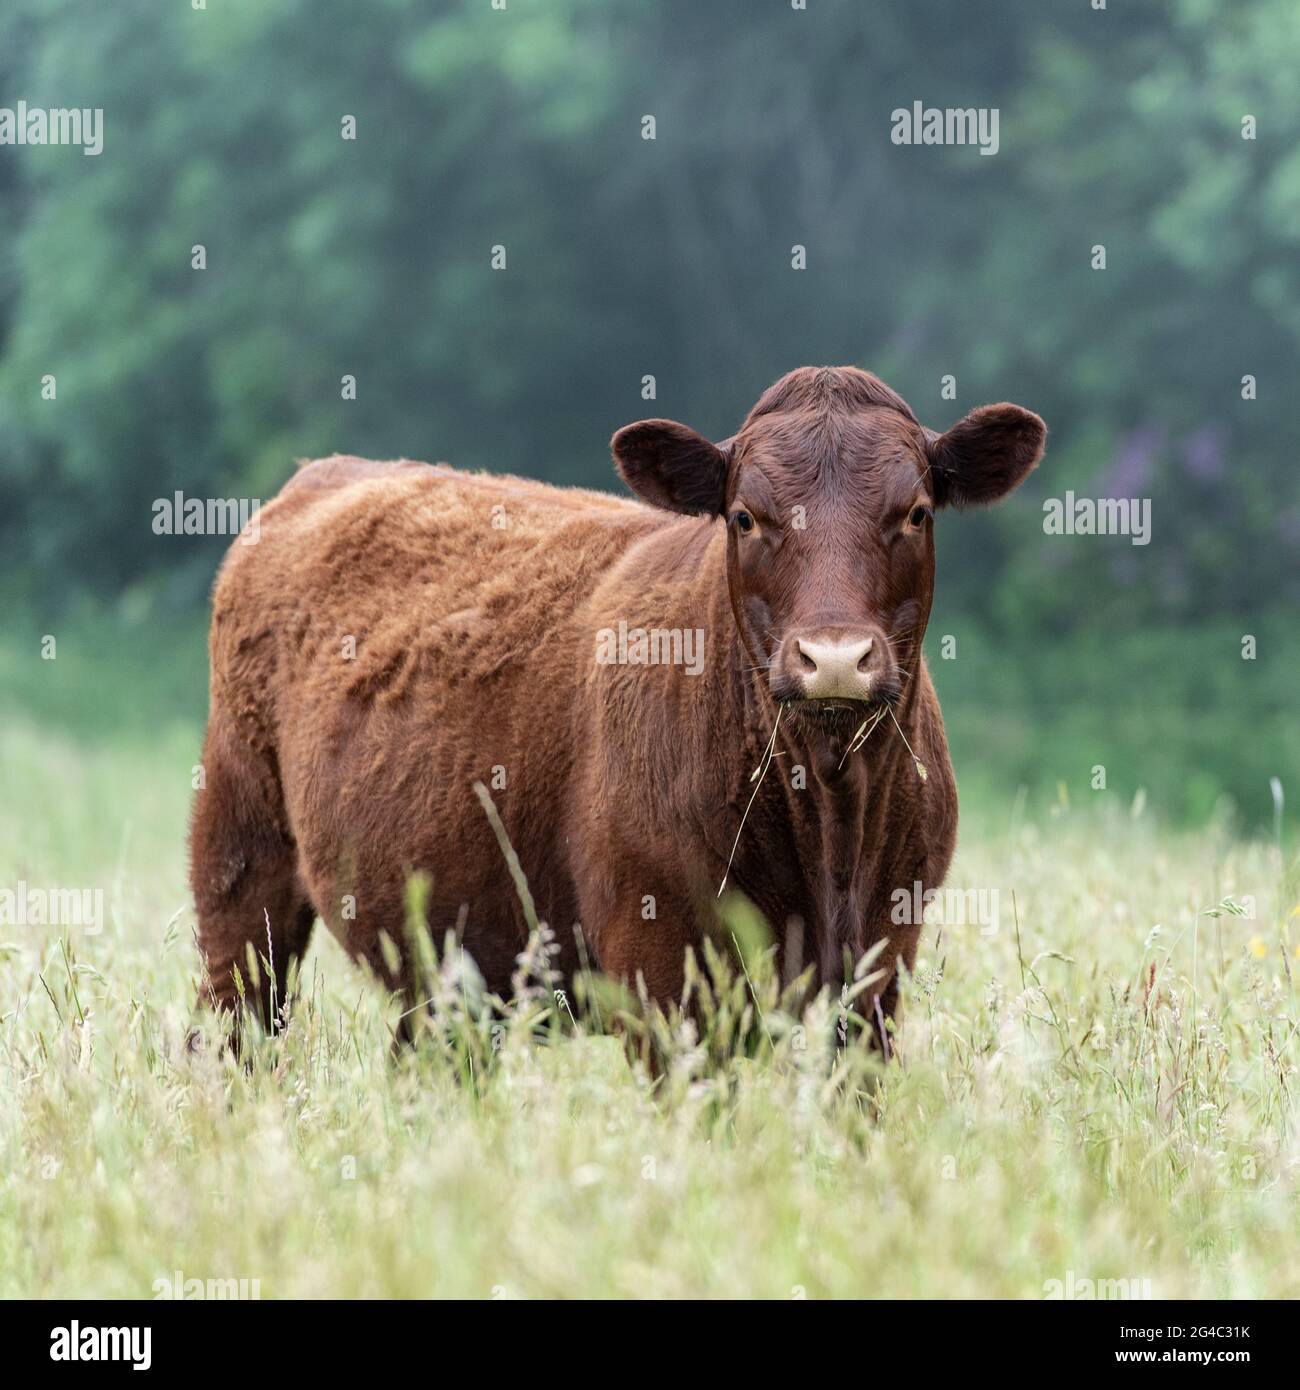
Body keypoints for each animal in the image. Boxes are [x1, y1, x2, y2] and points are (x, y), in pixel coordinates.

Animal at [190, 369, 1045, 1045]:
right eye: (746, 517)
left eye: (916, 512)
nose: (834, 658)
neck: (828, 813)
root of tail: (321, 474)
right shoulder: (661, 960)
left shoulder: (882, 957)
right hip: (239, 864)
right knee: (235, 1028)